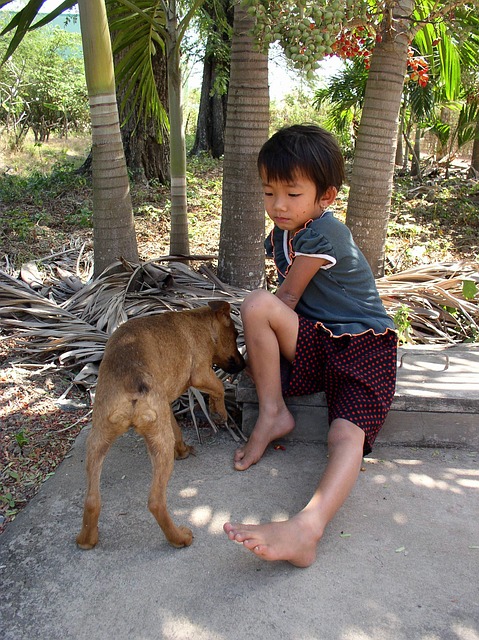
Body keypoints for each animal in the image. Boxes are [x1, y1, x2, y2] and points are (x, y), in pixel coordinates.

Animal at [77, 302, 246, 552]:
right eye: (234, 335)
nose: (245, 364)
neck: (202, 322)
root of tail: (131, 384)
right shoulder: (201, 373)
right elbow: (219, 387)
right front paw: (219, 413)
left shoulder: (166, 405)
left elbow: (177, 429)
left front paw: (183, 449)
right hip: (159, 446)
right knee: (156, 502)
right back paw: (179, 538)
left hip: (98, 439)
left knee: (91, 499)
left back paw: (86, 540)